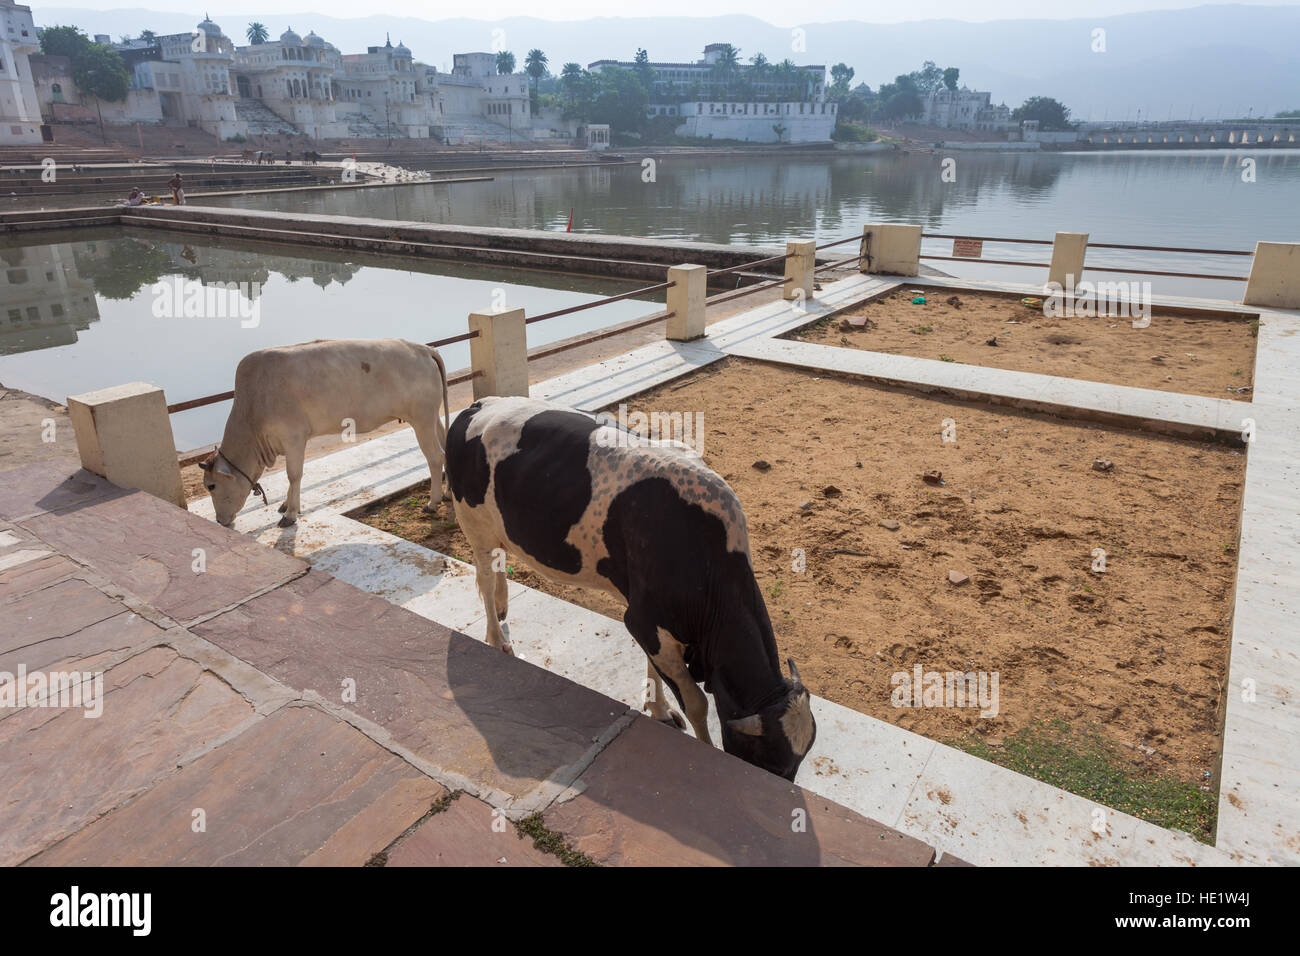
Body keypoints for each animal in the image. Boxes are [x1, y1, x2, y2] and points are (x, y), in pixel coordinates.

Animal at [200, 340, 449, 528]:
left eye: (211, 486)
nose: (220, 521)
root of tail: (423, 348)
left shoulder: (293, 437)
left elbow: (294, 474)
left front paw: (290, 515)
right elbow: (293, 476)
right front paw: (286, 505)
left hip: (422, 419)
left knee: (435, 457)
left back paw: (433, 502)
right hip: (431, 417)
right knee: (446, 444)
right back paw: (447, 494)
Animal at [447, 395, 811, 780]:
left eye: (795, 764)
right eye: (768, 761)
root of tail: (480, 404)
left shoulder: (648, 620)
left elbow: (655, 668)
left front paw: (658, 709)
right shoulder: (645, 619)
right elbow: (696, 703)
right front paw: (702, 745)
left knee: (496, 568)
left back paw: (502, 607)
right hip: (474, 524)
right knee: (484, 577)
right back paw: (496, 638)